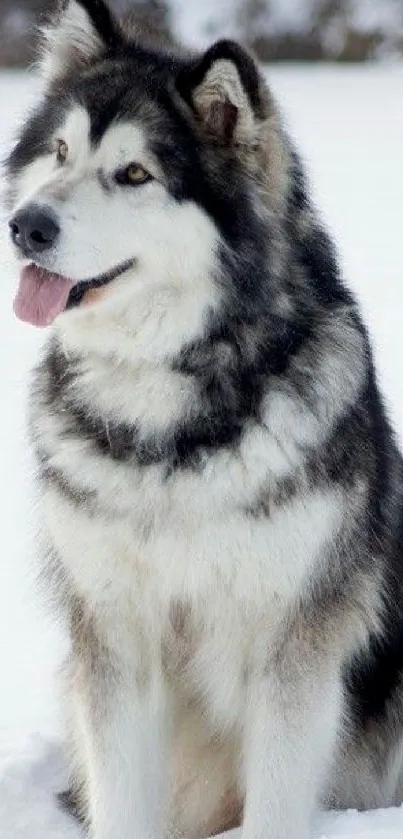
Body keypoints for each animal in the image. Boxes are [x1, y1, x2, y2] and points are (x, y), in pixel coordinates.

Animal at [5, 1, 403, 839]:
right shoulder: (114, 632)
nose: (26, 226)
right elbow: (122, 799)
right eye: (60, 151)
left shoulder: (292, 640)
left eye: (134, 174)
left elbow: (277, 801)